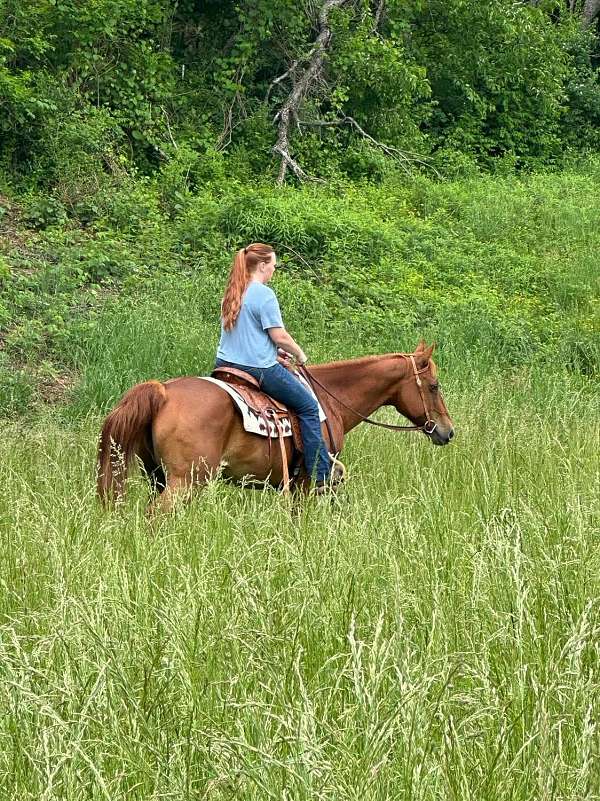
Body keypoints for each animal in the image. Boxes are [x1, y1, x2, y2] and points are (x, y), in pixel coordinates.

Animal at [97, 340, 454, 510]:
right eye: (434, 386)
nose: (448, 431)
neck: (330, 400)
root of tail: (164, 391)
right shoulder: (311, 482)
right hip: (185, 481)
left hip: (158, 477)